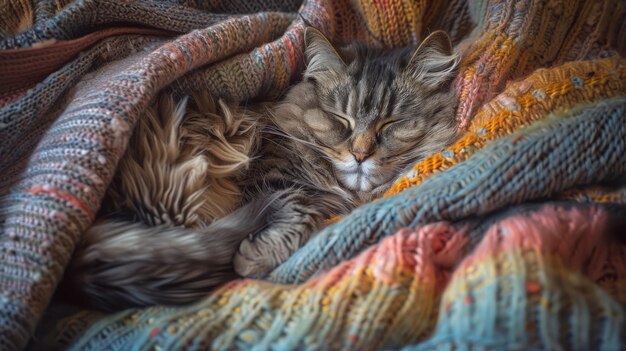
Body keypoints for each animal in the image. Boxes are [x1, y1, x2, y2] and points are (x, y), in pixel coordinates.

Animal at [67, 28, 458, 312]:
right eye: (340, 120)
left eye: (391, 124)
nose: (360, 155)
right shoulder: (271, 179)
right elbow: (298, 207)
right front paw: (255, 259)